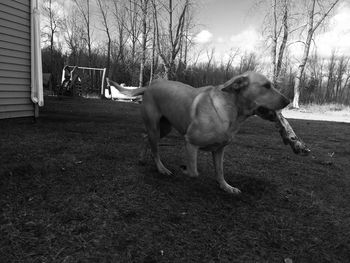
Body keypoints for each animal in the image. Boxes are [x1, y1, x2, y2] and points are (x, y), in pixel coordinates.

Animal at [107, 71, 308, 194]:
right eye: (266, 86)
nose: (288, 100)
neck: (232, 111)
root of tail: (149, 86)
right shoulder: (190, 142)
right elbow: (194, 172)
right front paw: (185, 171)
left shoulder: (219, 150)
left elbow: (220, 171)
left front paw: (226, 187)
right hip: (156, 127)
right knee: (155, 149)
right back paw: (162, 168)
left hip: (164, 127)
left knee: (145, 137)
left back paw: (142, 158)